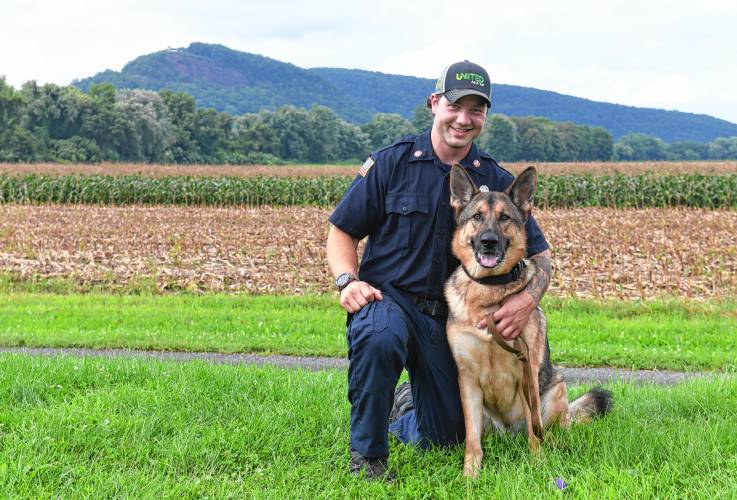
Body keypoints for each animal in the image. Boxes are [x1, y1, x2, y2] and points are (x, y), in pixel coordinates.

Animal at [442, 164, 608, 476]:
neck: (489, 293)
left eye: (504, 217)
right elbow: (472, 440)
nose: (489, 242)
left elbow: (534, 432)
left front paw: (538, 466)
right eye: (477, 217)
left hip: (555, 389)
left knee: (547, 428)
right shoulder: (467, 380)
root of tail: (510, 433)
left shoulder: (526, 372)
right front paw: (470, 475)